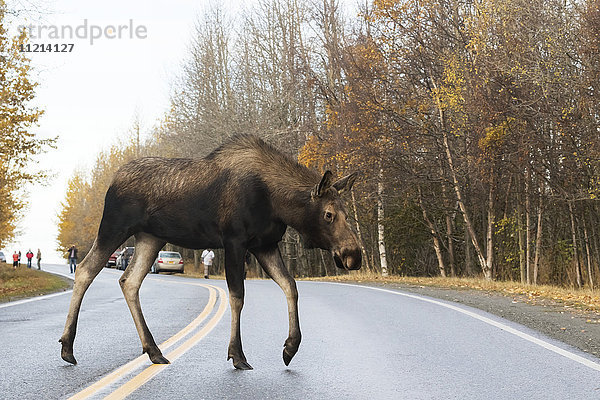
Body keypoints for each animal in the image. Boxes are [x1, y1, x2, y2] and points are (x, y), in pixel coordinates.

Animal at [59, 134, 360, 368]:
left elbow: (290, 286)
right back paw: (67, 348)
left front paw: (290, 347)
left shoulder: (265, 244)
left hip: (150, 237)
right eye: (329, 214)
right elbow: (237, 296)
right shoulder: (235, 241)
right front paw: (237, 354)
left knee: (129, 281)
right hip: (114, 227)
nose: (353, 255)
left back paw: (154, 351)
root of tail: (112, 182)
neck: (278, 203)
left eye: (347, 212)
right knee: (85, 269)